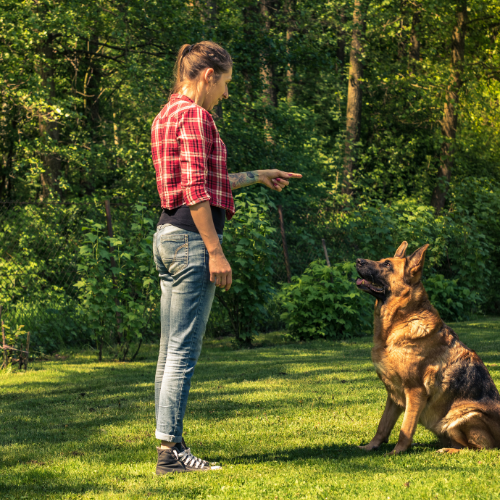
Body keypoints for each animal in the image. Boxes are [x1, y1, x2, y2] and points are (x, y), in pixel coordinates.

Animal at [356, 240, 500, 456]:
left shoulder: (415, 391)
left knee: (477, 449)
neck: (397, 323)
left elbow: (406, 428)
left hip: (464, 417)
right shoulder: (394, 396)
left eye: (387, 265)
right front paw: (370, 447)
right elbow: (383, 426)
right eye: (381, 260)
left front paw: (396, 453)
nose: (357, 260)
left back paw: (447, 450)